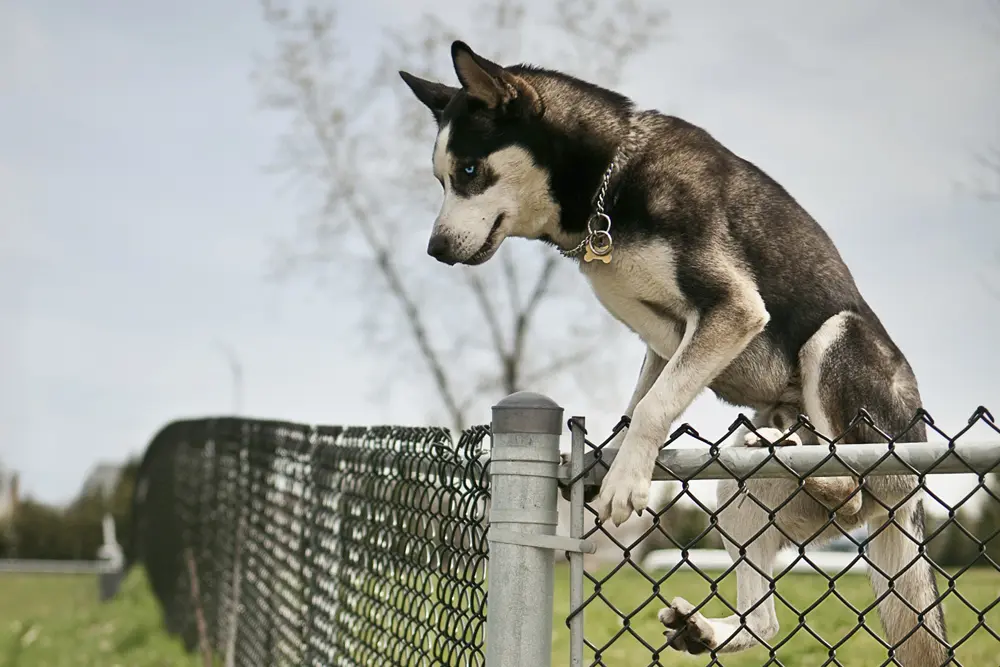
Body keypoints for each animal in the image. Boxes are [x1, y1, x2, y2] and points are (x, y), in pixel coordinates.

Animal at [400, 41, 944, 664]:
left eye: (468, 171)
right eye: (440, 178)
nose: (435, 249)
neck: (610, 184)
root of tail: (911, 487)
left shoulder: (732, 308)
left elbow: (654, 408)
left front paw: (626, 482)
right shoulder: (666, 338)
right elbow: (638, 403)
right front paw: (607, 459)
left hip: (840, 342)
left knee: (852, 484)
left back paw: (794, 453)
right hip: (739, 494)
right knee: (766, 618)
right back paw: (707, 626)